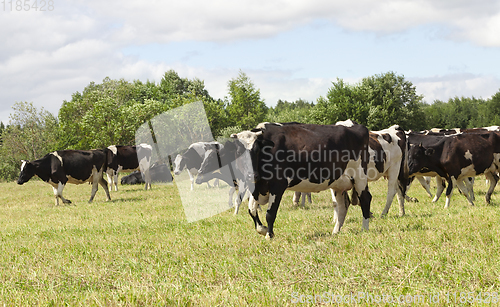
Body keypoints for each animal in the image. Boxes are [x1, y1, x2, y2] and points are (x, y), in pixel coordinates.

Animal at [230, 121, 372, 241]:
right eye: (239, 151)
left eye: (256, 150)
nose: (251, 175)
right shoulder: (255, 188)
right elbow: (252, 210)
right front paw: (263, 229)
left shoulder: (278, 185)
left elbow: (270, 213)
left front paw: (269, 235)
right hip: (338, 183)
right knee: (343, 205)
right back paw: (336, 231)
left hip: (359, 176)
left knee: (365, 198)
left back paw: (364, 229)